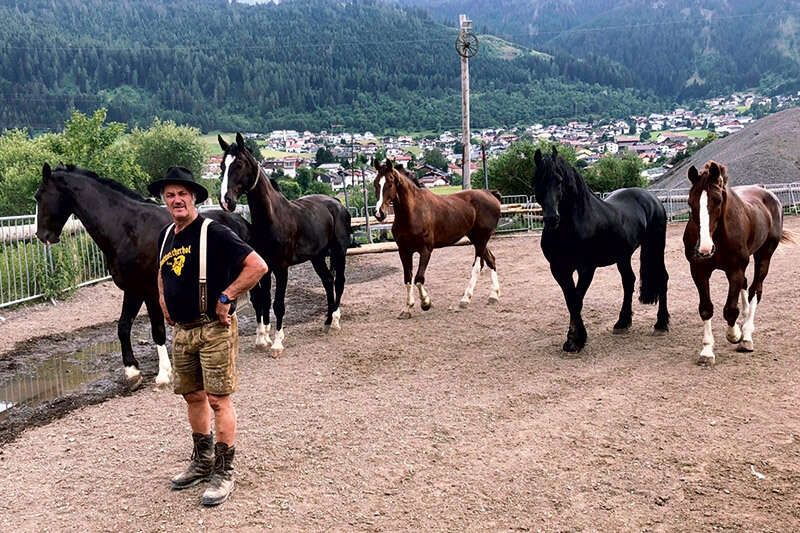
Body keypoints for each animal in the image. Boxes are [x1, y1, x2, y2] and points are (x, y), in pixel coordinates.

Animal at [34, 161, 268, 386]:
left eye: (38, 196)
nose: (41, 235)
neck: (128, 228)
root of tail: (241, 221)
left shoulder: (151, 292)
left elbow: (157, 330)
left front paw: (164, 374)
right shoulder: (133, 290)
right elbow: (123, 326)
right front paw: (132, 371)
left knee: (260, 301)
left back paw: (263, 339)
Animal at [217, 133, 352, 358]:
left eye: (239, 164)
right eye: (222, 166)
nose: (226, 201)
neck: (272, 219)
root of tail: (336, 203)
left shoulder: (281, 268)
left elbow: (278, 304)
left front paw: (277, 343)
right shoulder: (264, 268)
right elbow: (263, 300)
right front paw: (262, 339)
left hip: (339, 252)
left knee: (339, 281)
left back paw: (335, 321)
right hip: (317, 257)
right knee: (327, 281)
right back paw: (326, 321)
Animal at [370, 158, 500, 316]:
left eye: (390, 182)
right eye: (375, 183)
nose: (379, 213)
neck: (413, 213)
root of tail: (491, 194)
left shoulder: (425, 250)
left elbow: (419, 278)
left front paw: (426, 303)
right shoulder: (404, 251)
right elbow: (408, 278)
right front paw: (407, 308)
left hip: (481, 239)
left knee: (477, 266)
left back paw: (465, 299)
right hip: (477, 239)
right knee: (491, 260)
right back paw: (493, 296)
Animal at [536, 147, 672, 354]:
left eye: (559, 180)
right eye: (538, 180)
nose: (552, 218)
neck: (573, 225)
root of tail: (652, 198)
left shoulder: (586, 268)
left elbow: (576, 300)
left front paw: (576, 340)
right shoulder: (559, 269)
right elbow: (570, 300)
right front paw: (573, 339)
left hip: (656, 246)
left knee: (662, 278)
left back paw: (661, 325)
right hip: (623, 256)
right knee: (628, 281)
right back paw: (622, 323)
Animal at [680, 160, 792, 364]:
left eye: (717, 200)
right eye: (690, 202)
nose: (704, 249)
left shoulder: (735, 270)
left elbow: (730, 310)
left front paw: (735, 334)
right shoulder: (699, 271)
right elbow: (706, 309)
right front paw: (707, 351)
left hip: (764, 256)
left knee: (756, 290)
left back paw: (746, 336)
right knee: (746, 286)